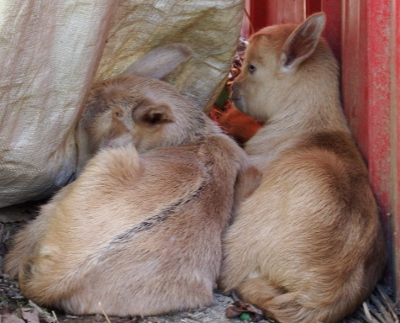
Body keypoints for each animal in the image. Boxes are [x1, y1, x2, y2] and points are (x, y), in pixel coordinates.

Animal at [219, 12, 388, 323]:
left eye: (252, 67)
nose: (233, 88)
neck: (311, 121)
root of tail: (320, 295)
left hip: (247, 232)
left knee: (229, 274)